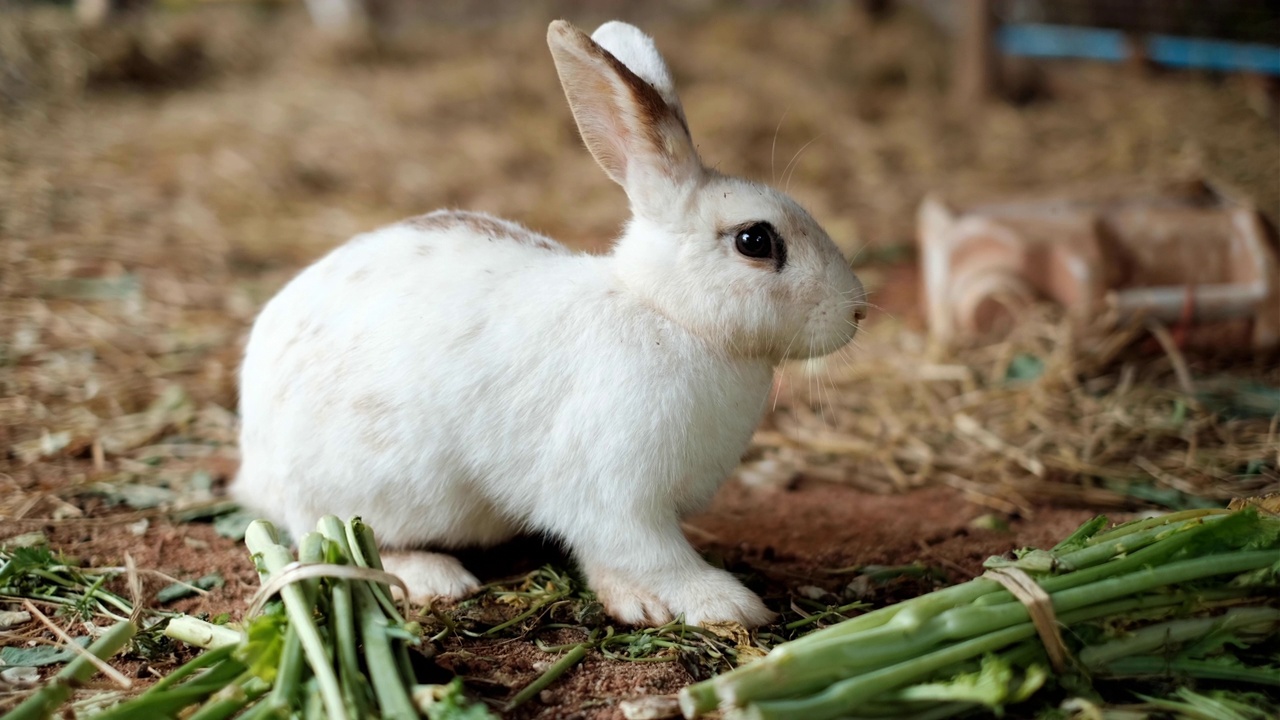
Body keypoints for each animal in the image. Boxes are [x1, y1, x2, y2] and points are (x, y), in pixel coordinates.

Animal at [234, 15, 865, 622]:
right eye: (755, 240)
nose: (856, 311)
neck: (669, 314)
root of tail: (255, 457)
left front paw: (630, 602)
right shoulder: (616, 496)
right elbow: (656, 555)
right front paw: (726, 604)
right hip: (377, 491)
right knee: (348, 539)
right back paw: (437, 576)